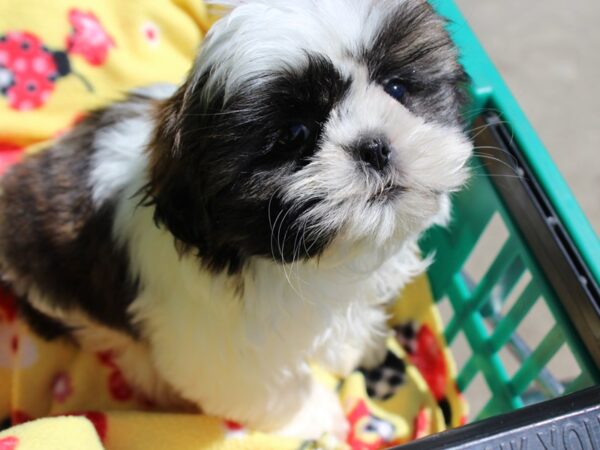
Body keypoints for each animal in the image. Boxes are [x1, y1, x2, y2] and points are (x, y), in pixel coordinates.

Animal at [0, 0, 472, 440]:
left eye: (397, 88)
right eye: (295, 134)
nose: (373, 146)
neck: (316, 262)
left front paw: (357, 344)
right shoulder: (214, 349)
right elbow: (270, 390)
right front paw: (318, 415)